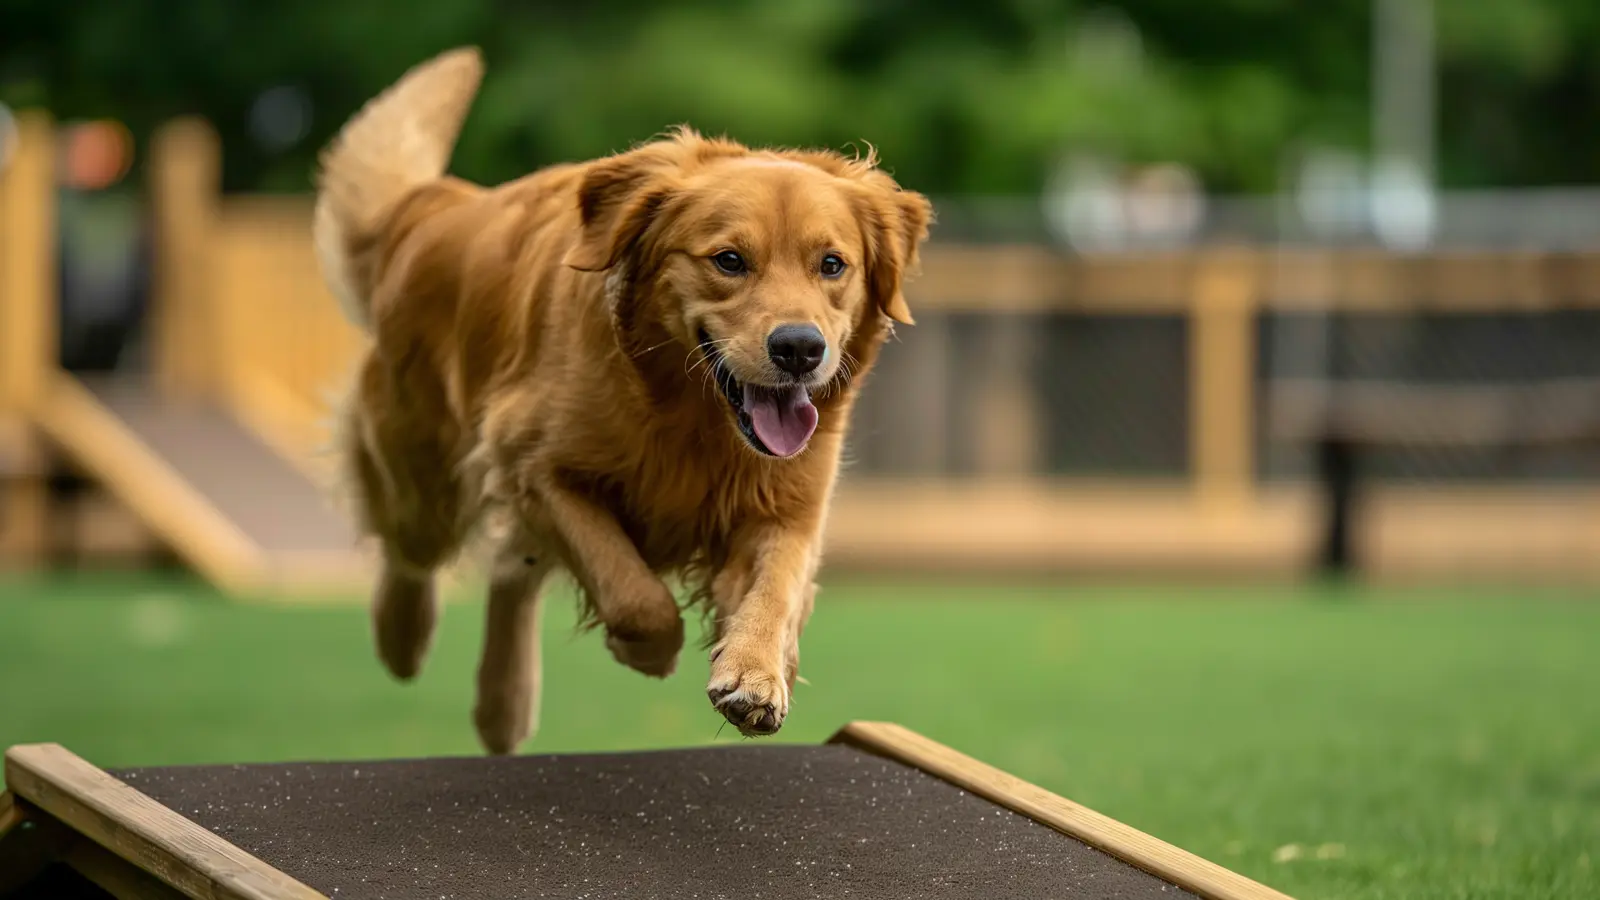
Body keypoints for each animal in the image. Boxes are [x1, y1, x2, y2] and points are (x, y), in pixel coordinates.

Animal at [312, 47, 934, 749]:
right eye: (729, 260)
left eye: (832, 264)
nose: (800, 348)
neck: (692, 420)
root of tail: (436, 206)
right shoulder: (535, 467)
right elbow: (634, 593)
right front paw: (651, 650)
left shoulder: (790, 510)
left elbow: (774, 591)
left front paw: (755, 675)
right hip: (422, 468)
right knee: (413, 553)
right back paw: (404, 638)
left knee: (510, 572)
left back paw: (503, 704)